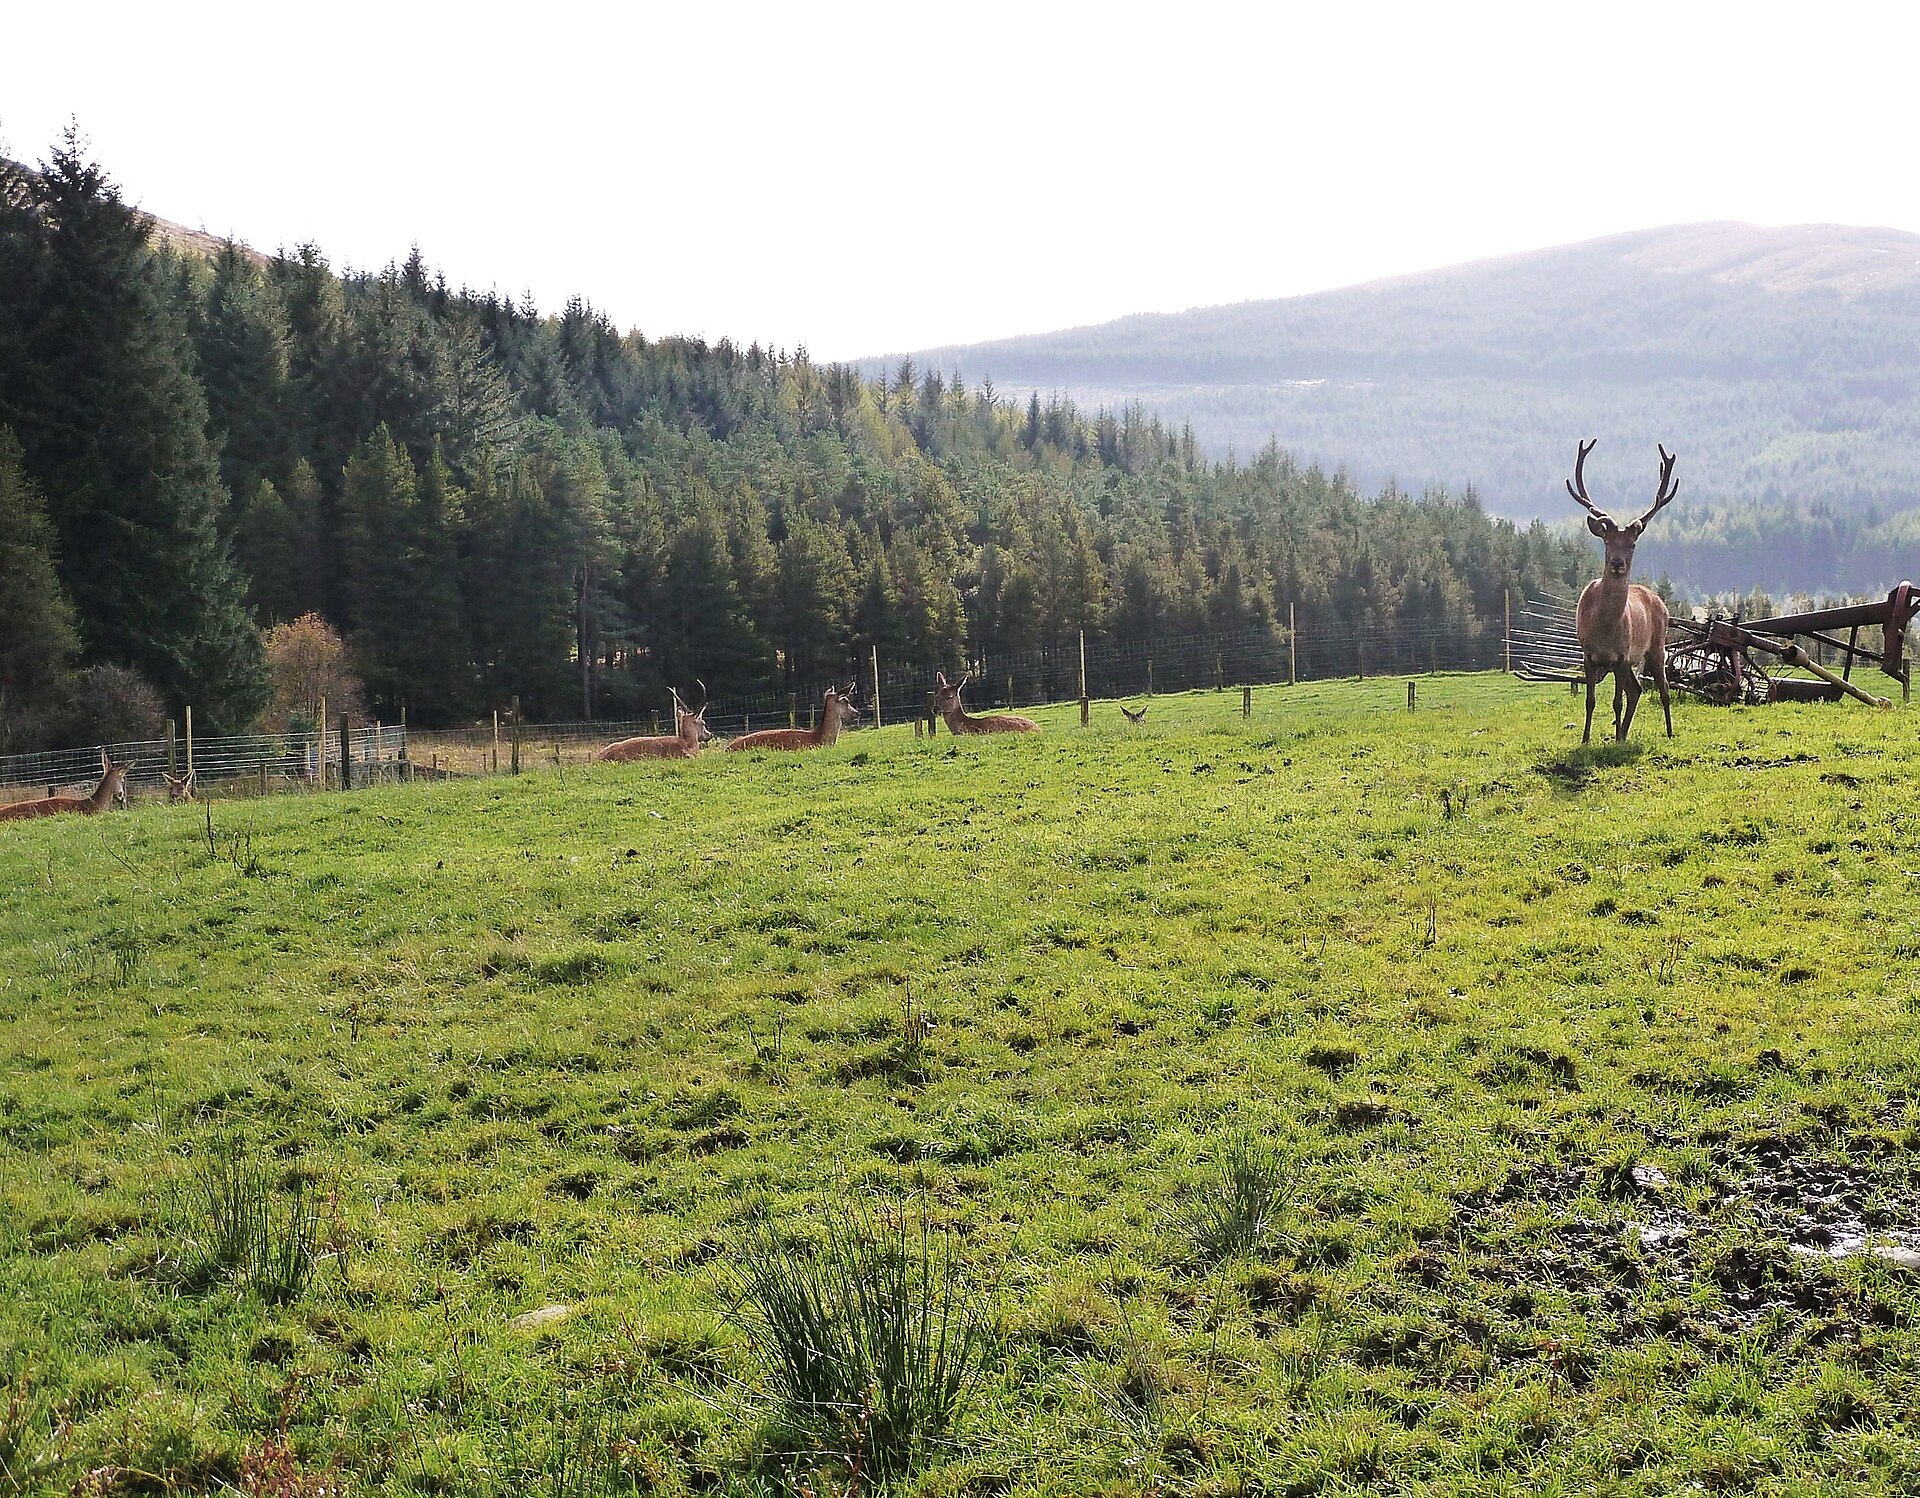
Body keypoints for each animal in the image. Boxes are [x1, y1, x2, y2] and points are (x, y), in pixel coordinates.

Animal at [1564, 438, 1678, 744]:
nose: (1617, 563)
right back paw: (1624, 733)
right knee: (1636, 690)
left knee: (1662, 690)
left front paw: (1611, 739)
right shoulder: (1588, 655)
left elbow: (1615, 701)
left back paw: (1668, 732)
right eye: (1607, 540)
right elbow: (1590, 701)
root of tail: (1659, 600)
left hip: (1657, 647)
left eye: (1632, 544)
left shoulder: (1620, 655)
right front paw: (1586, 740)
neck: (1604, 629)